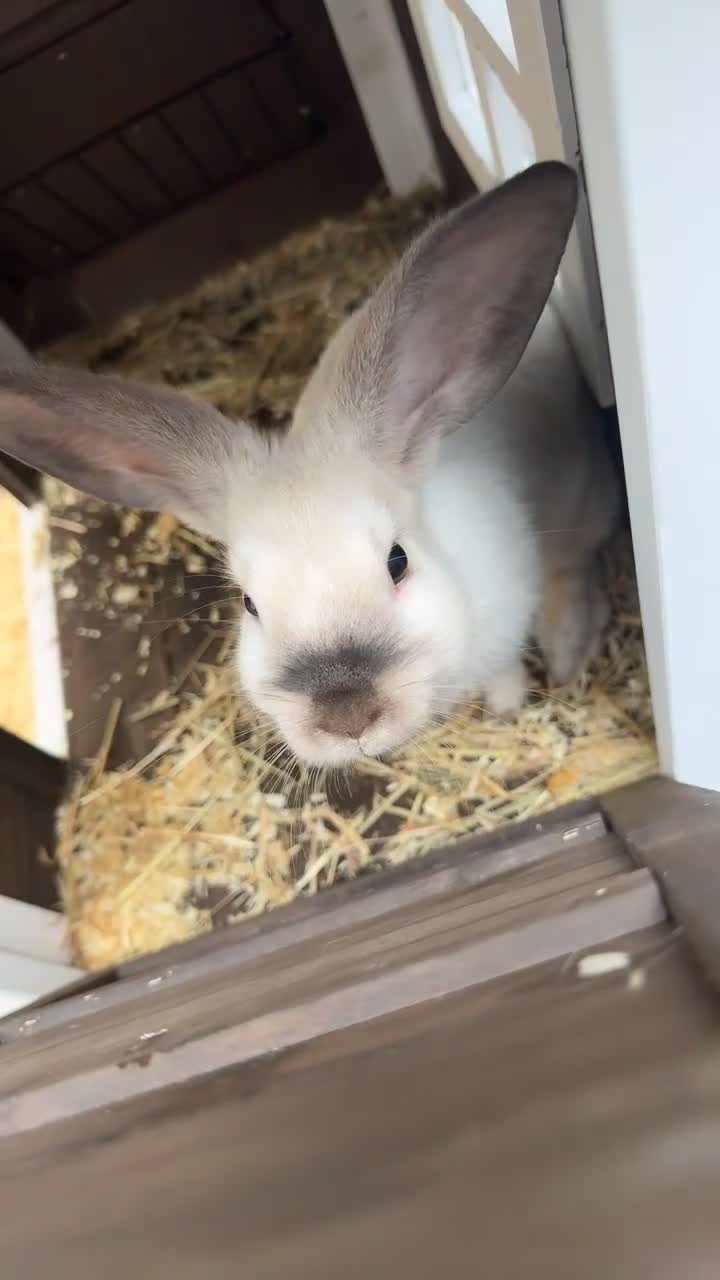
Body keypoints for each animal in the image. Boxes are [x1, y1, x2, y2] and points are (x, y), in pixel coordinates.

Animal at [0, 161, 619, 768]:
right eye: (249, 604)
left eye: (398, 561)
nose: (348, 718)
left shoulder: (502, 622)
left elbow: (505, 672)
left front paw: (506, 713)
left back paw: (568, 650)